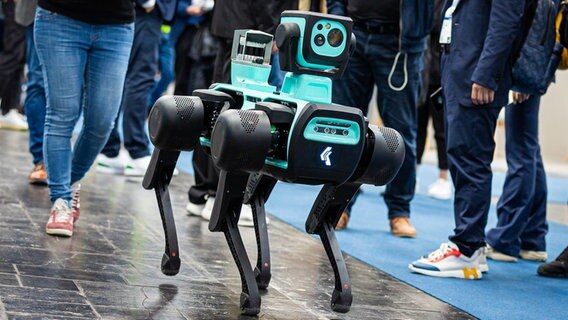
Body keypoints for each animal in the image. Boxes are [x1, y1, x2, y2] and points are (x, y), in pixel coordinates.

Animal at [144, 11, 406, 316]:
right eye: (324, 35)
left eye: (333, 36)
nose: (327, 154)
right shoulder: (240, 141)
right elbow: (224, 215)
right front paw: (250, 297)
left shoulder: (362, 160)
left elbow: (321, 219)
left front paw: (342, 293)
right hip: (190, 118)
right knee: (167, 157)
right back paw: (173, 258)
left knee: (256, 195)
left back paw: (261, 271)